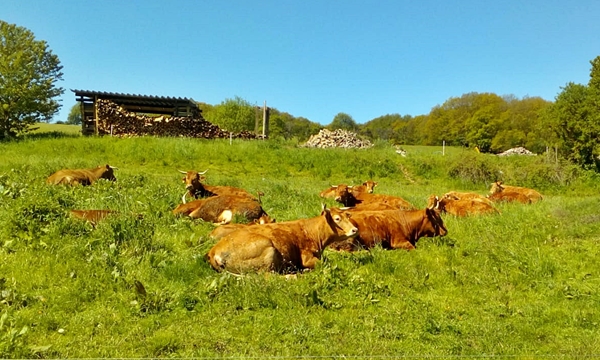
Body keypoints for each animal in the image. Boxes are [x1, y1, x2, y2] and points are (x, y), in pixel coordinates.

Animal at [206, 205, 356, 272]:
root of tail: (214, 250)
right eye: (337, 219)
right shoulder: (307, 258)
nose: (355, 230)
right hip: (268, 249)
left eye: (347, 216)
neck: (311, 231)